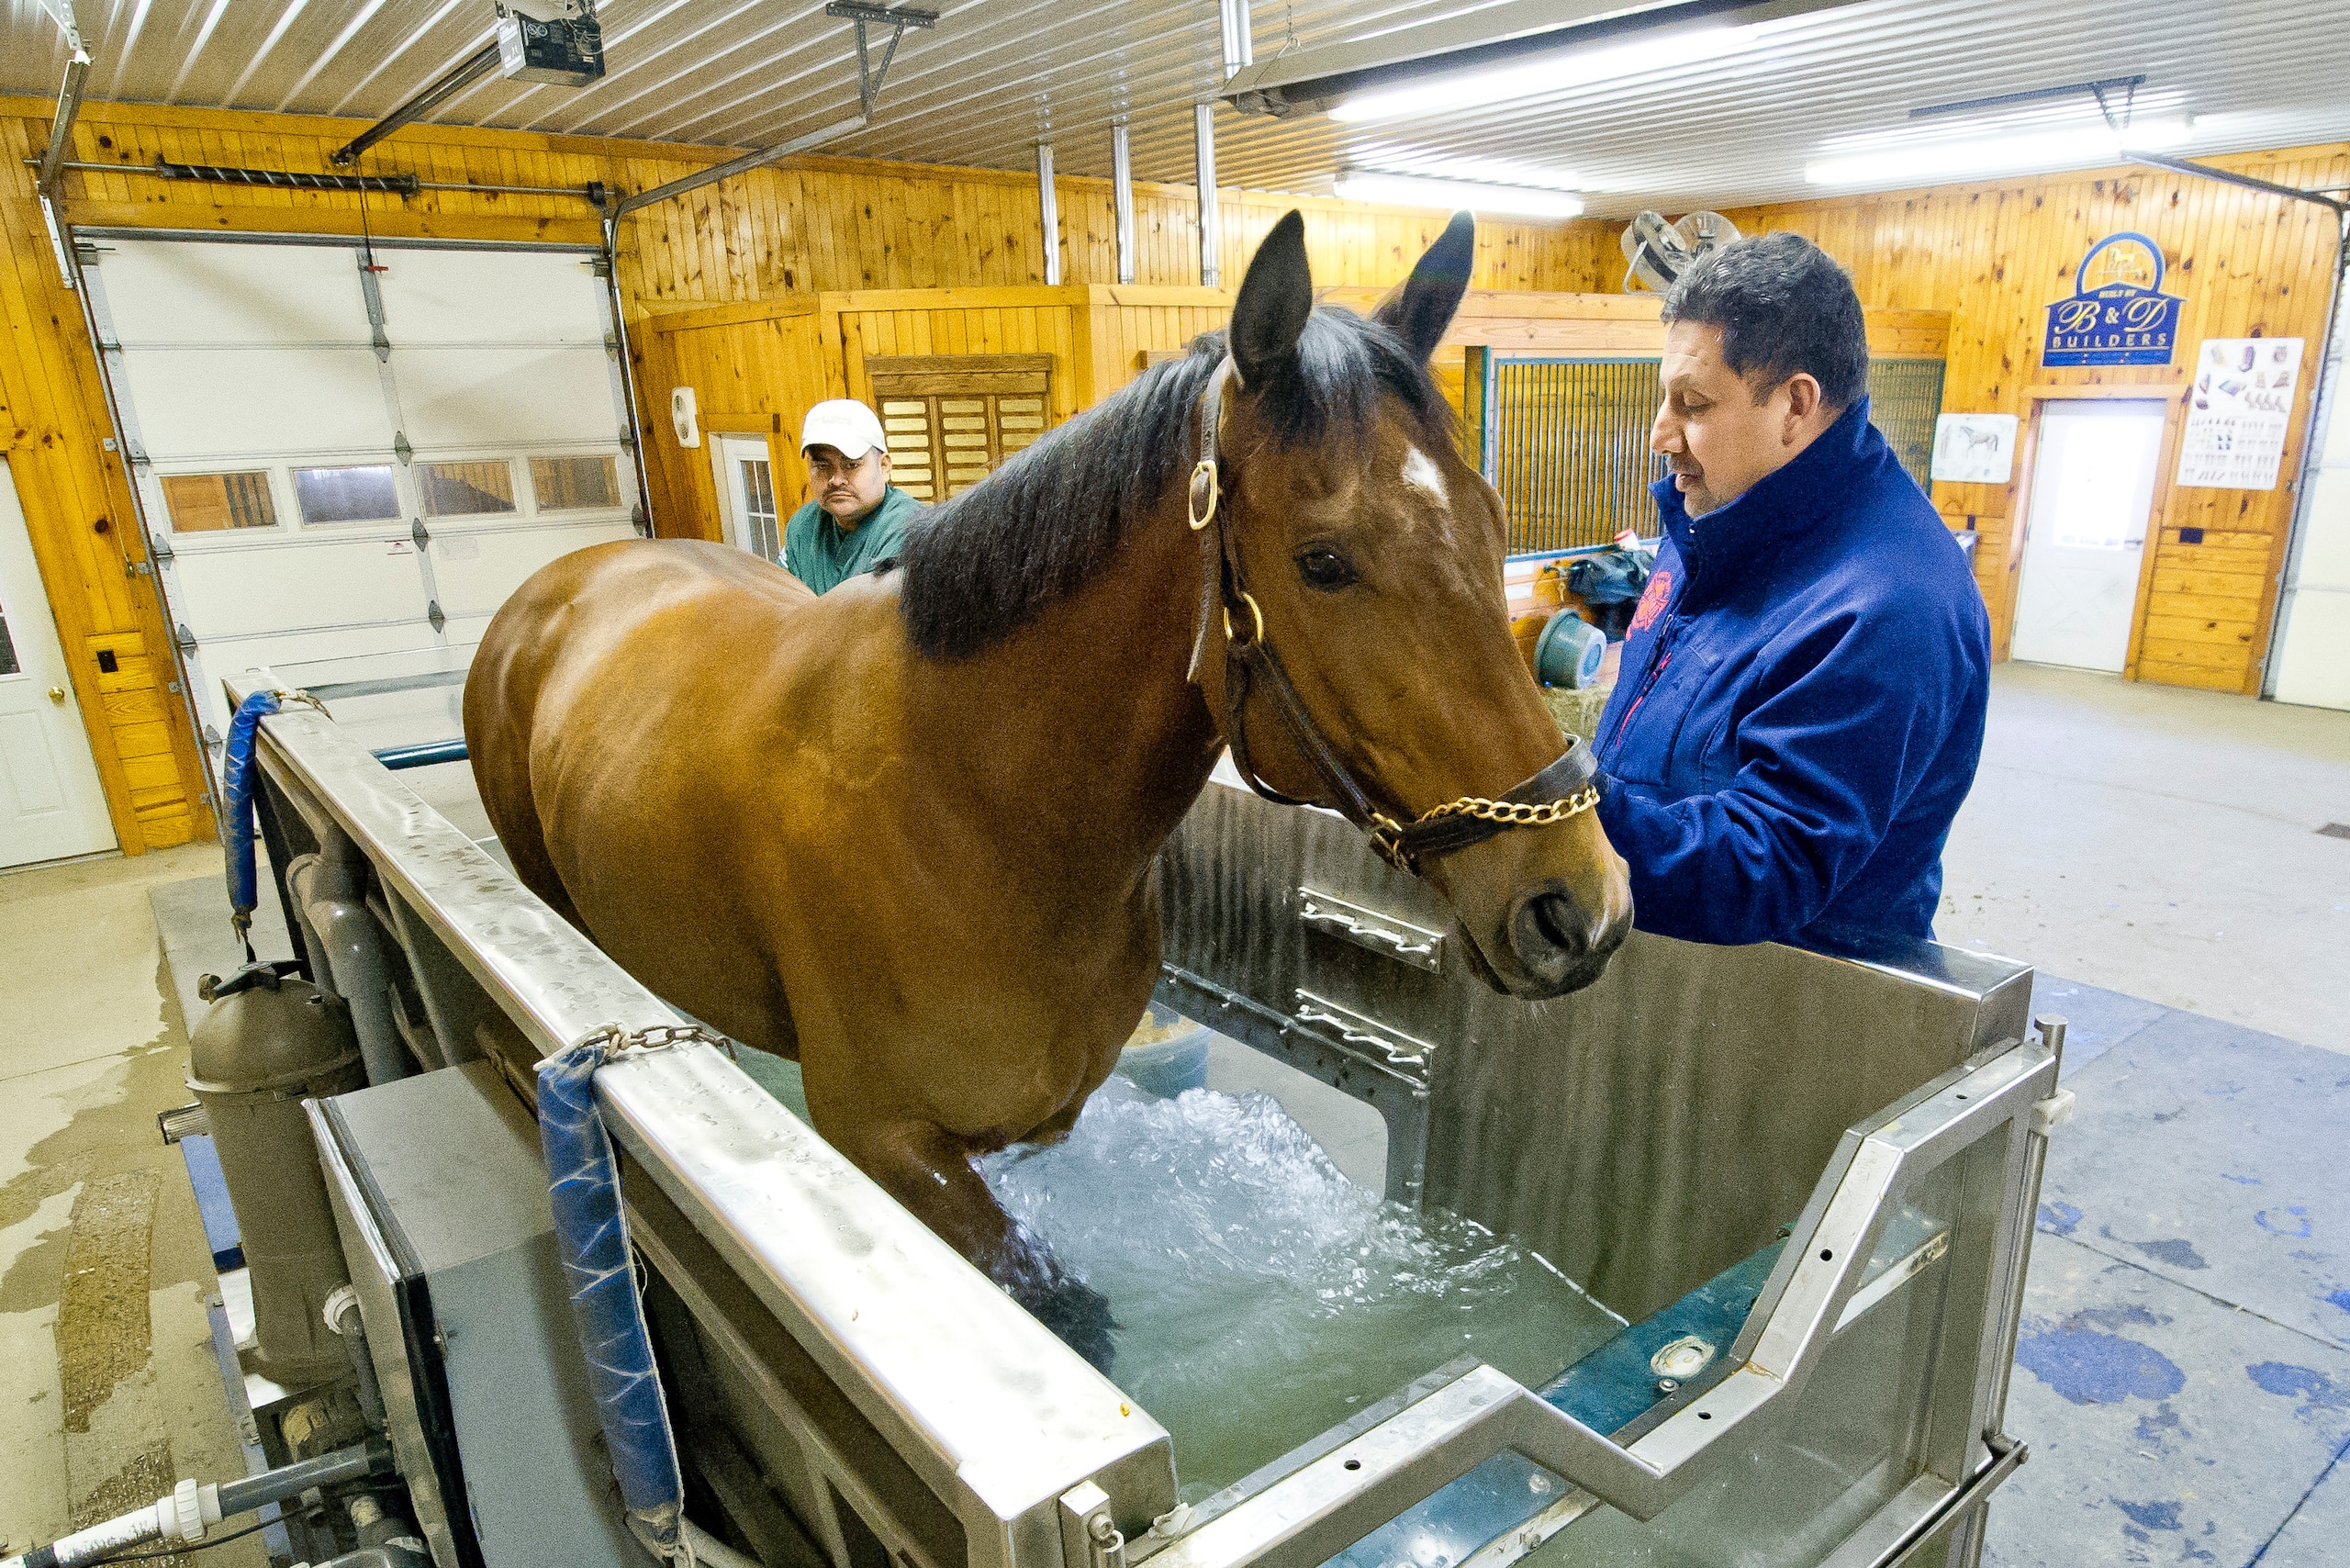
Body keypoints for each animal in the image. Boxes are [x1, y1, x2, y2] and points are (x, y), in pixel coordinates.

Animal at [464, 211, 1633, 1368]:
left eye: (1493, 522)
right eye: (1324, 561)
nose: (1582, 905)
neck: (970, 806)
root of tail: (559, 586)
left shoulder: (1033, 1117)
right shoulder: (886, 1140)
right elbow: (1059, 1306)